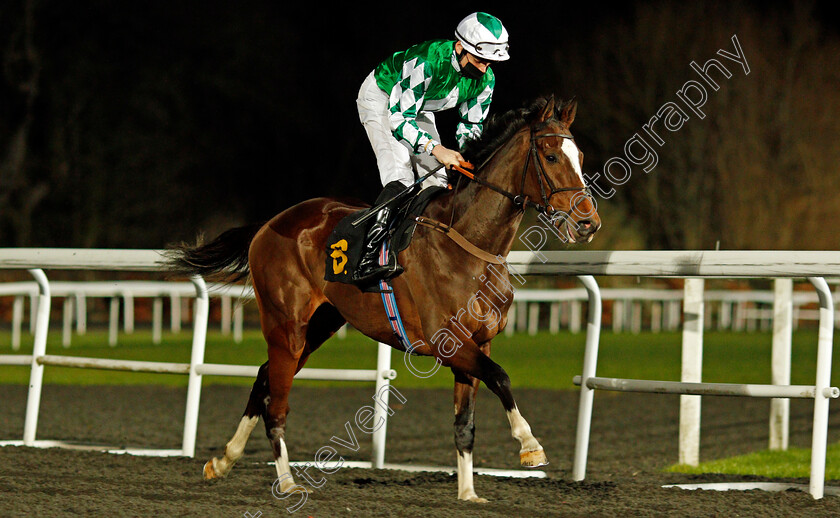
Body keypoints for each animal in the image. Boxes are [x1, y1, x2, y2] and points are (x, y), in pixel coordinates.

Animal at [166, 95, 596, 506]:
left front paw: (468, 493)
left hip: (319, 325)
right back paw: (287, 483)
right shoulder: (449, 341)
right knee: (277, 405)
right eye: (552, 156)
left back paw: (223, 460)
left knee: (262, 377)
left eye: (581, 157)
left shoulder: (479, 342)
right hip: (286, 325)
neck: (469, 242)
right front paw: (530, 445)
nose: (588, 223)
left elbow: (465, 424)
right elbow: (501, 376)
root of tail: (269, 224)